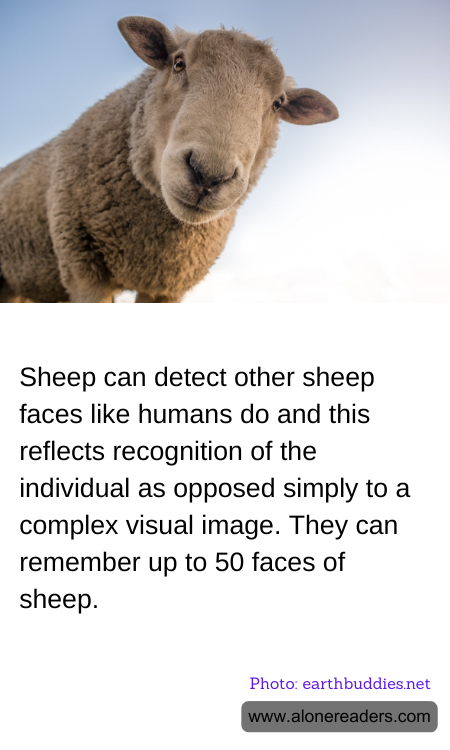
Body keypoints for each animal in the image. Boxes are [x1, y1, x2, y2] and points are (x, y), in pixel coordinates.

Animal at [0, 17, 338, 303]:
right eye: (178, 63)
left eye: (278, 103)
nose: (208, 175)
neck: (150, 243)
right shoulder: (83, 267)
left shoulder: (167, 286)